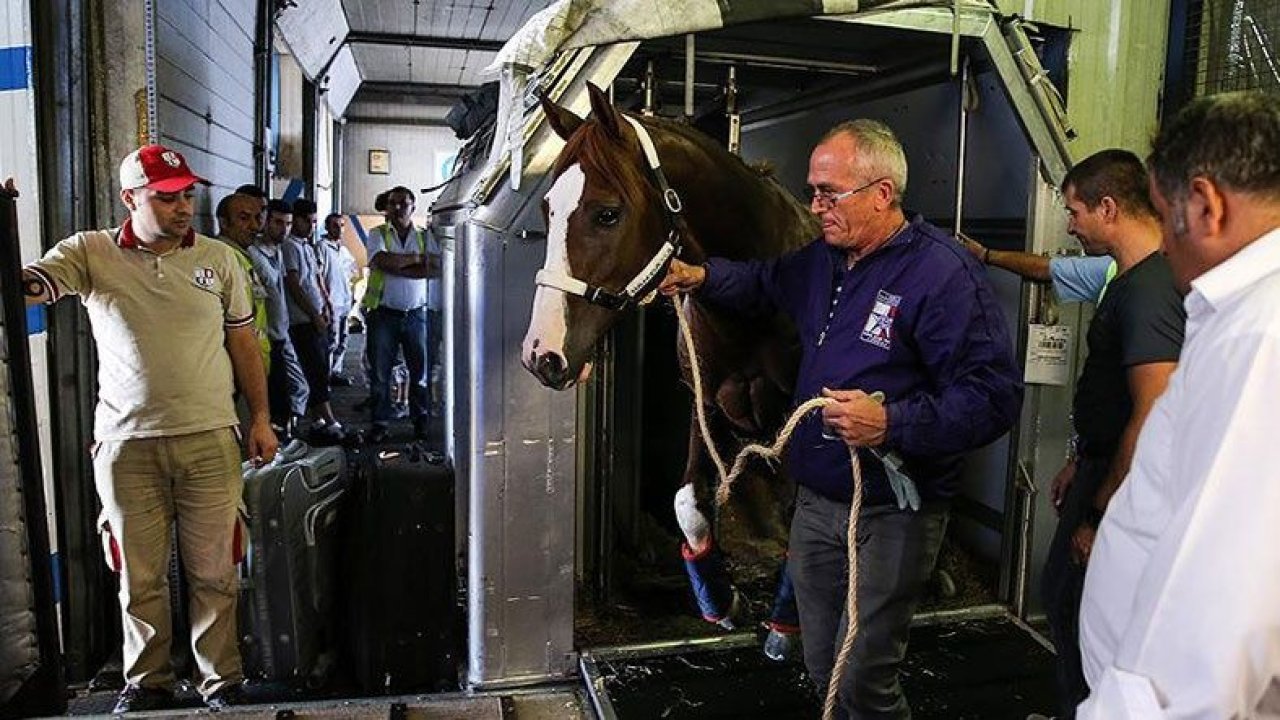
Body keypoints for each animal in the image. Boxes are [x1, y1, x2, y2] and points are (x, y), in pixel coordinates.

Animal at [519, 81, 819, 625]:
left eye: (608, 213)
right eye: (547, 208)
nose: (541, 353)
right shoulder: (704, 403)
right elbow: (688, 504)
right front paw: (721, 599)